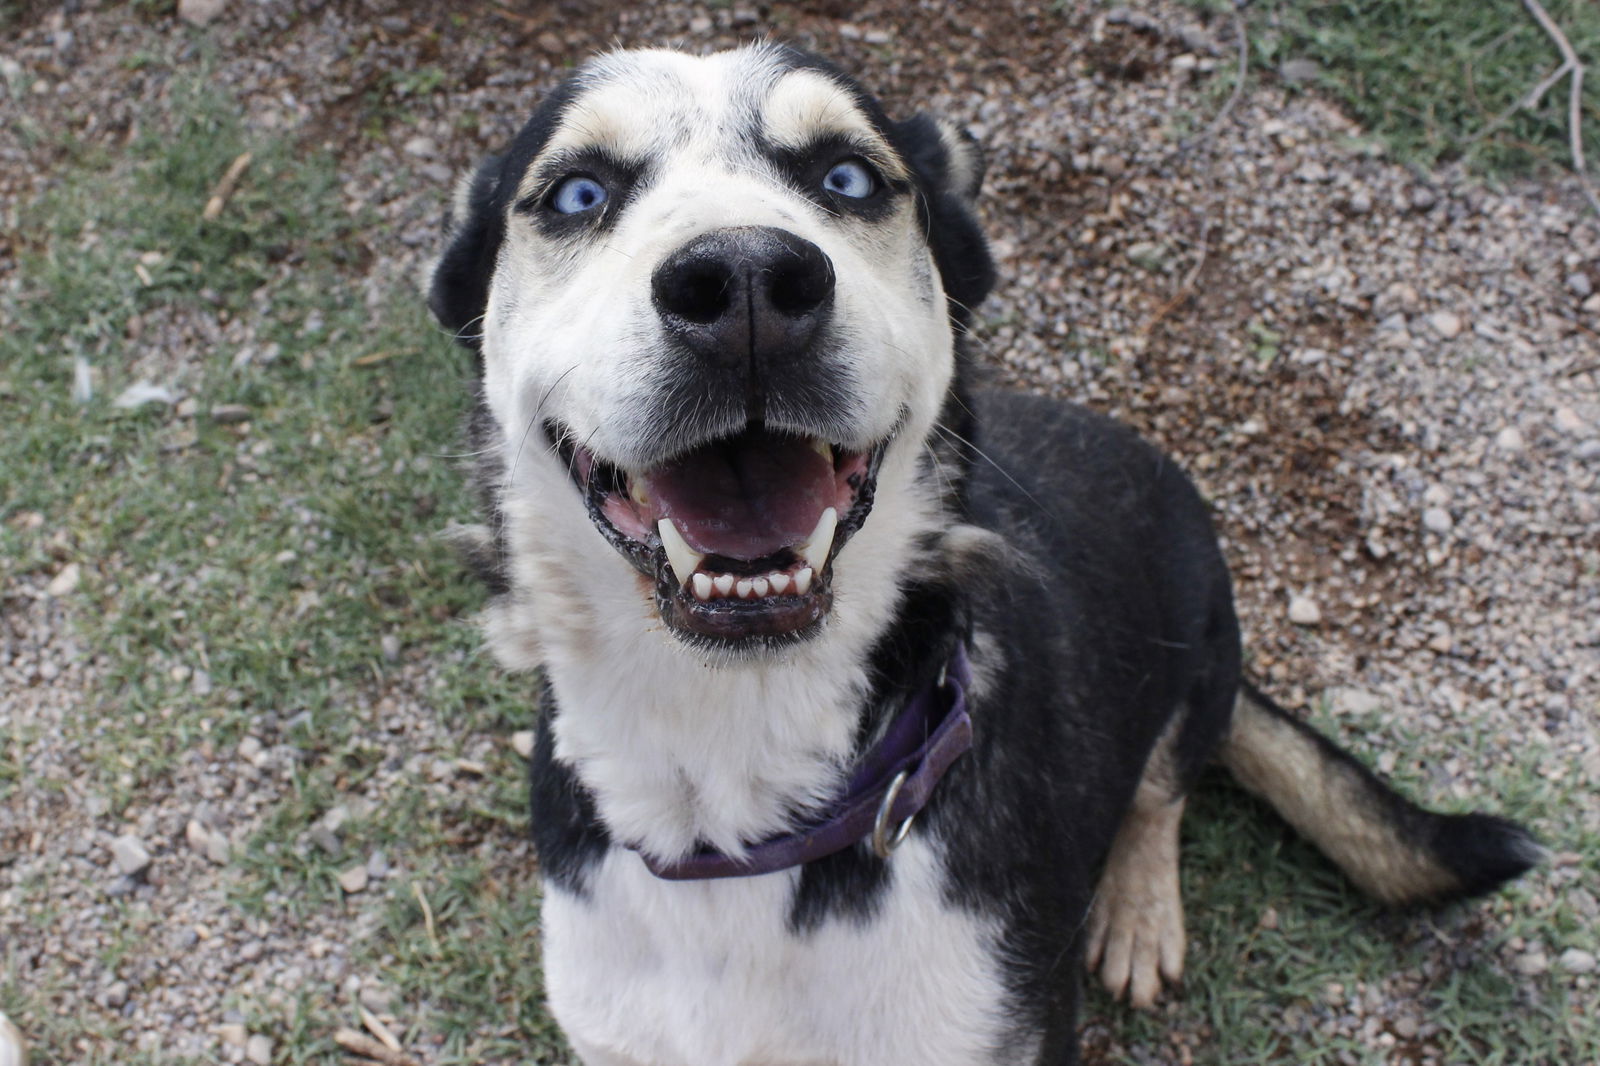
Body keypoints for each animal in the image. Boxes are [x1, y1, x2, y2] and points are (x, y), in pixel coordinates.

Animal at [428, 43, 1548, 1062]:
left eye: (847, 176)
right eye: (577, 192)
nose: (744, 280)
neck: (738, 790)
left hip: (1199, 650)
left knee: (1161, 791)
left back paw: (1136, 912)